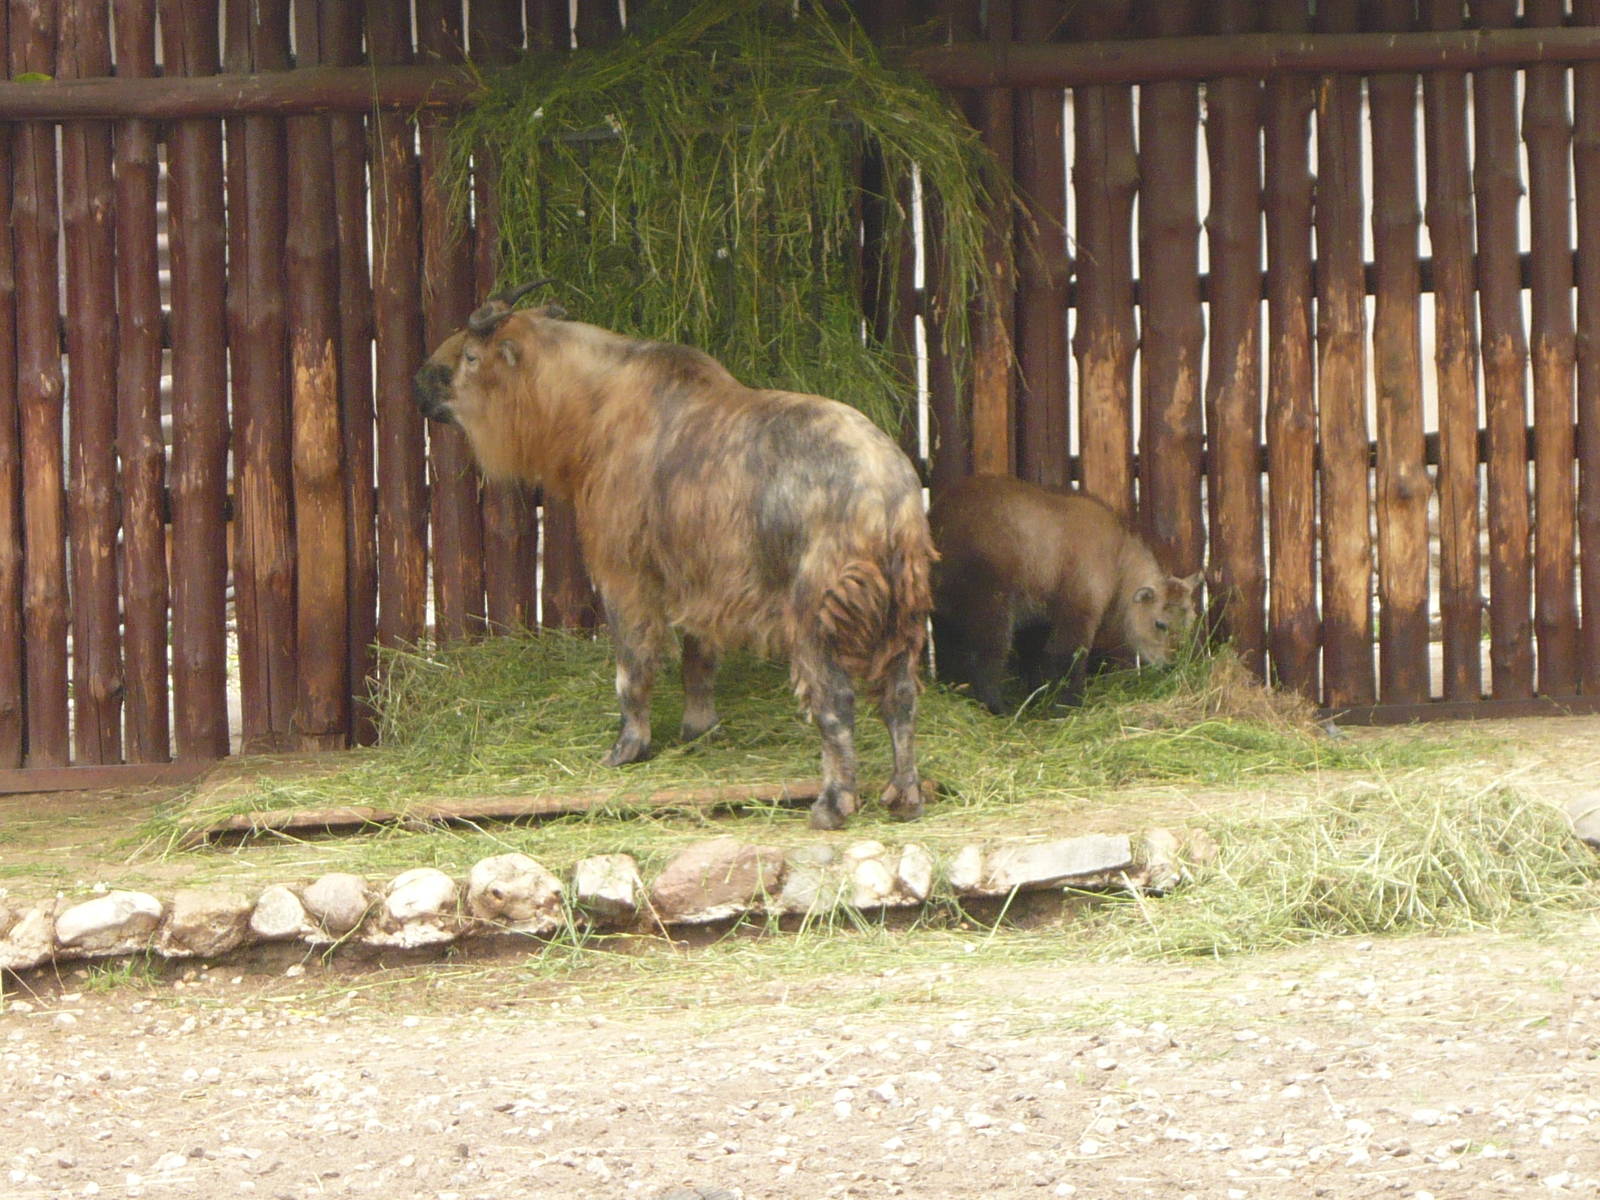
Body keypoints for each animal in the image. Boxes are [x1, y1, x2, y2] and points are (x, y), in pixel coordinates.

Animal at [413, 283, 935, 830]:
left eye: (471, 357)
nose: (418, 383)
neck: (594, 405)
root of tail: (884, 493)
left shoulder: (624, 575)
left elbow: (633, 667)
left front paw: (629, 747)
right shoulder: (701, 582)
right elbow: (698, 662)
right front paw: (698, 729)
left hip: (816, 617)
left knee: (836, 704)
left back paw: (833, 804)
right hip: (905, 618)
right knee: (901, 700)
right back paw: (906, 795)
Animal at [929, 474, 1200, 714]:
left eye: (1191, 620)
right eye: (1160, 624)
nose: (1172, 663)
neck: (1118, 556)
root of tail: (940, 522)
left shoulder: (1038, 620)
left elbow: (1035, 661)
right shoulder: (1078, 611)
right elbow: (1066, 656)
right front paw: (1069, 705)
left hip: (943, 616)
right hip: (992, 610)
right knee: (986, 659)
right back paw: (999, 708)